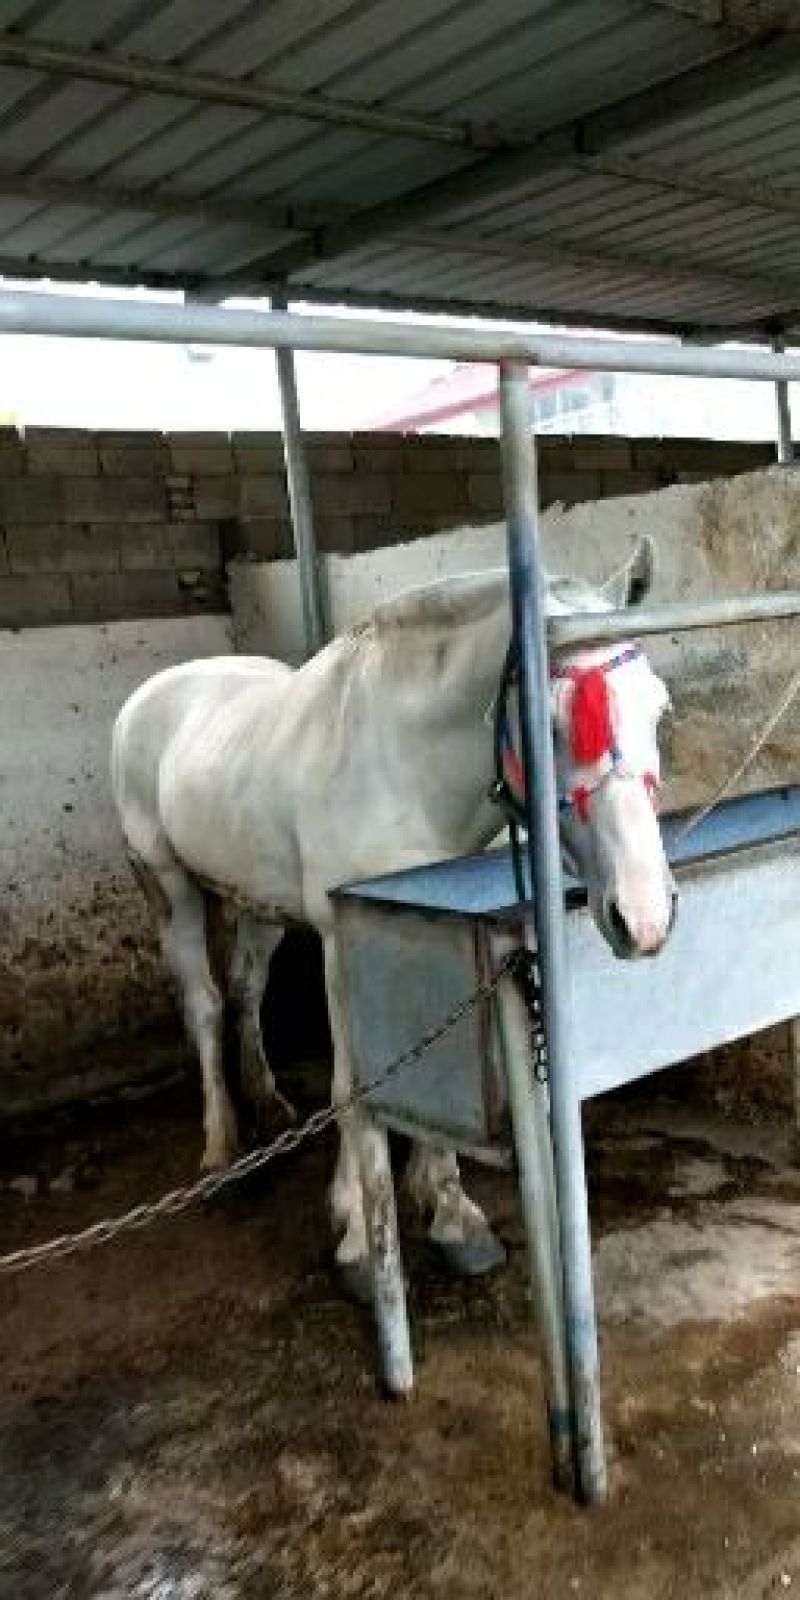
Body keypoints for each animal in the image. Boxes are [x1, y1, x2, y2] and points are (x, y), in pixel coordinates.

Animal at [111, 537, 676, 1297]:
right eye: (548, 723)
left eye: (658, 709)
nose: (643, 916)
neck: (404, 765)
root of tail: (150, 694)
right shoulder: (341, 937)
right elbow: (354, 1089)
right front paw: (358, 1237)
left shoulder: (441, 928)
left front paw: (452, 1215)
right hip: (167, 884)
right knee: (202, 1004)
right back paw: (223, 1147)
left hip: (255, 899)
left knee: (246, 992)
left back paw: (269, 1105)